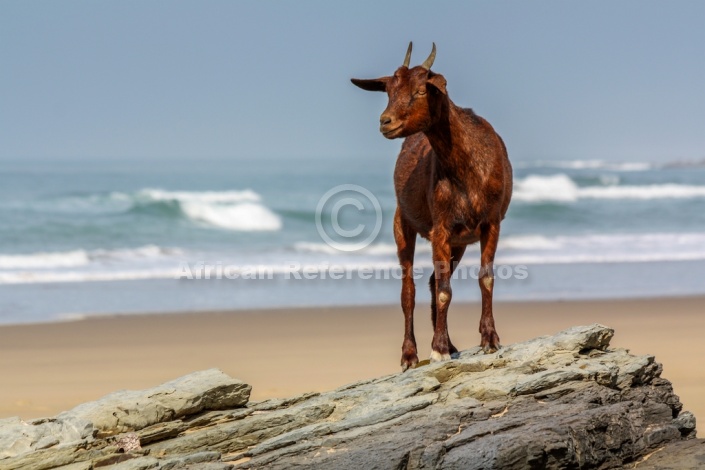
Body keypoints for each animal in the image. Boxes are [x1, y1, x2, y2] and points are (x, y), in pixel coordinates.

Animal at [350, 41, 512, 370]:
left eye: (421, 90)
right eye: (389, 91)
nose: (385, 122)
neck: (466, 168)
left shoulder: (490, 223)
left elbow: (485, 278)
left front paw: (489, 338)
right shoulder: (441, 227)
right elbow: (444, 291)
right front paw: (437, 349)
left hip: (460, 243)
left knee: (432, 281)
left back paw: (449, 343)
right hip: (403, 224)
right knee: (409, 290)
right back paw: (410, 354)